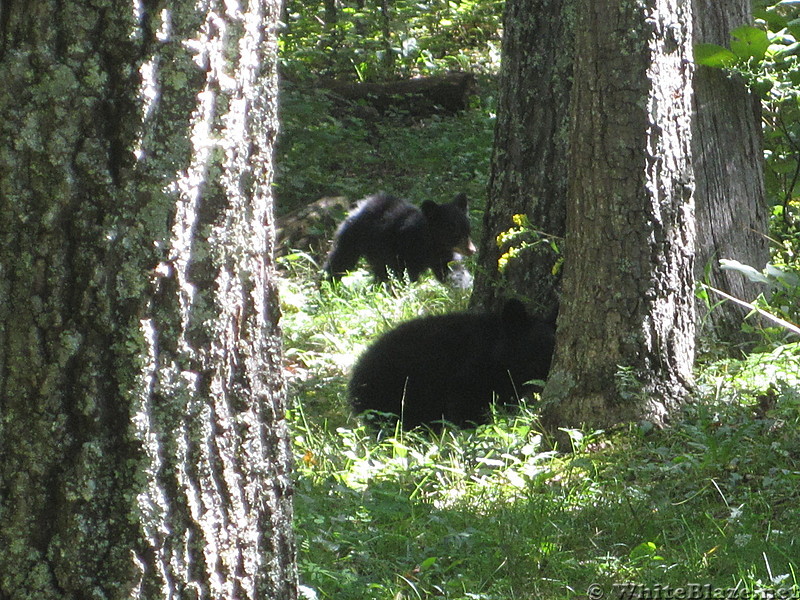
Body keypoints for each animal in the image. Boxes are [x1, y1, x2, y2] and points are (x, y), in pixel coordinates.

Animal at [324, 193, 476, 284]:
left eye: (468, 230)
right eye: (454, 232)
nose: (472, 250)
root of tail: (358, 206)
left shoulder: (444, 256)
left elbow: (452, 270)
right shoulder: (403, 250)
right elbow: (404, 273)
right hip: (354, 237)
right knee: (340, 260)